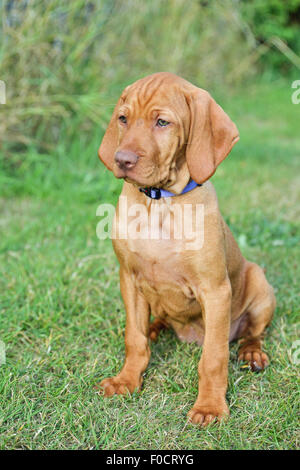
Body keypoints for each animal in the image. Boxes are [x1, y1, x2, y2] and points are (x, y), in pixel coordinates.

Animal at [97, 72, 276, 426]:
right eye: (123, 119)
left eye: (162, 122)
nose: (122, 160)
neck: (159, 202)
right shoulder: (129, 279)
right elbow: (134, 338)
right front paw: (127, 380)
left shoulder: (215, 290)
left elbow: (214, 358)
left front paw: (210, 407)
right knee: (155, 322)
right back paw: (155, 328)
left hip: (261, 286)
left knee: (252, 332)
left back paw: (252, 352)